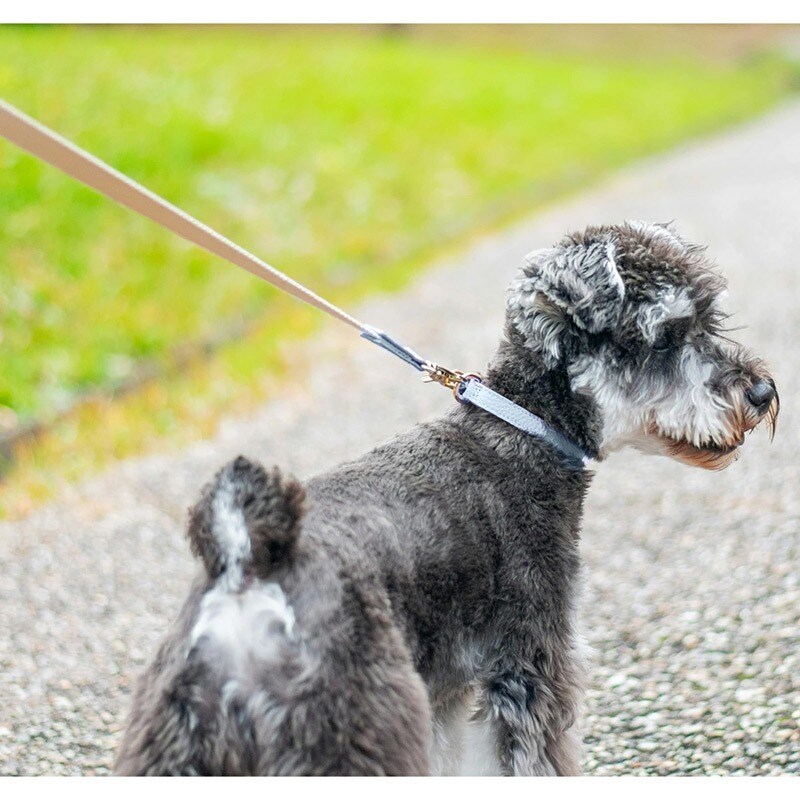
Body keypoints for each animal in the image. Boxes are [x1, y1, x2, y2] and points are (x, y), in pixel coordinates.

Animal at [114, 221, 778, 776]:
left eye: (710, 316)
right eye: (664, 337)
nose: (762, 392)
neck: (524, 429)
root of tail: (245, 570)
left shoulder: (446, 694)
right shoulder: (528, 670)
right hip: (356, 732)